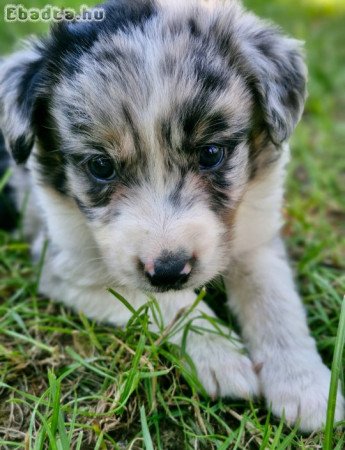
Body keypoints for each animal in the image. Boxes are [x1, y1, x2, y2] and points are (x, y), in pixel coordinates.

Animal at [0, 0, 342, 430]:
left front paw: (306, 387)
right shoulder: (67, 263)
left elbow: (275, 300)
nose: (168, 270)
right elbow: (160, 301)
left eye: (211, 153)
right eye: (100, 166)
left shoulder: (255, 231)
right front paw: (222, 357)